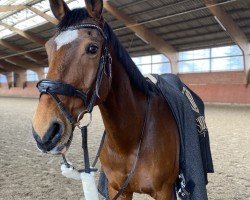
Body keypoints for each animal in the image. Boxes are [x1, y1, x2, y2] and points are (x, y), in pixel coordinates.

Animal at [31, 0, 180, 199]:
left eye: (92, 48)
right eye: (48, 48)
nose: (44, 133)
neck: (129, 142)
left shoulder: (165, 192)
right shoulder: (117, 188)